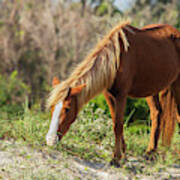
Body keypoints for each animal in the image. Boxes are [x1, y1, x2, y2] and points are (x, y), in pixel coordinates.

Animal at [45, 21, 180, 167]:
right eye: (52, 108)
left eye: (67, 108)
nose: (50, 140)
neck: (117, 59)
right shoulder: (109, 95)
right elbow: (116, 122)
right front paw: (123, 154)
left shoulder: (121, 95)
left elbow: (118, 125)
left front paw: (116, 158)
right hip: (151, 89)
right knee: (157, 113)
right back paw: (150, 152)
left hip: (177, 85)